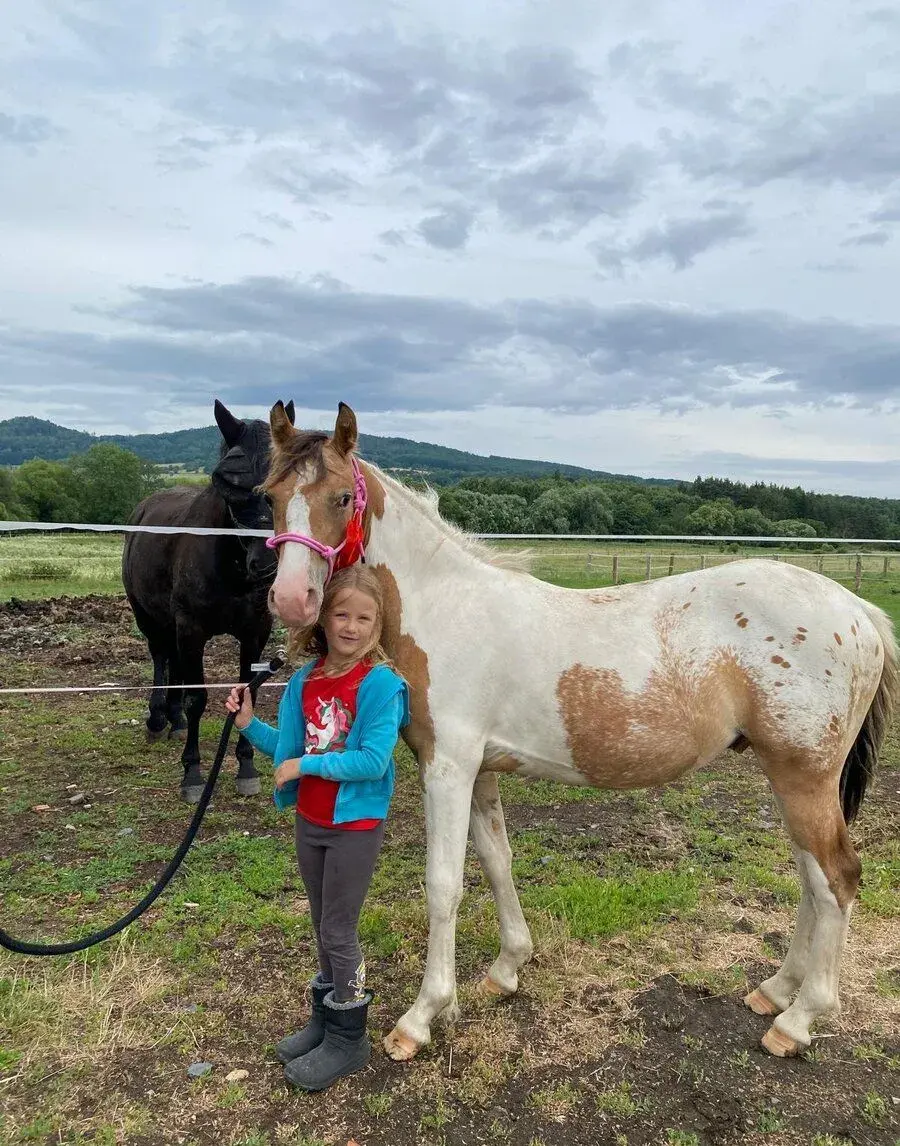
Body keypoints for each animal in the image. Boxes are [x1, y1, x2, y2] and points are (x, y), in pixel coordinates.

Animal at [122, 399, 294, 803]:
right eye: (226, 479)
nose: (266, 563)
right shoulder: (192, 630)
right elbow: (197, 698)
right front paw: (193, 774)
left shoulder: (255, 632)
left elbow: (247, 694)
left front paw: (246, 767)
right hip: (149, 618)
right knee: (160, 658)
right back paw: (158, 719)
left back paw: (174, 720)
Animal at [261, 400, 897, 1061]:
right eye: (270, 496)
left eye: (340, 497)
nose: (292, 599)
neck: (447, 608)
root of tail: (858, 612)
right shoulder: (479, 771)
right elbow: (497, 862)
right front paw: (505, 970)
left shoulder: (447, 766)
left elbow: (443, 886)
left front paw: (421, 1016)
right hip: (790, 778)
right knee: (810, 878)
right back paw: (775, 991)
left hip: (804, 776)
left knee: (837, 878)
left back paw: (799, 1019)